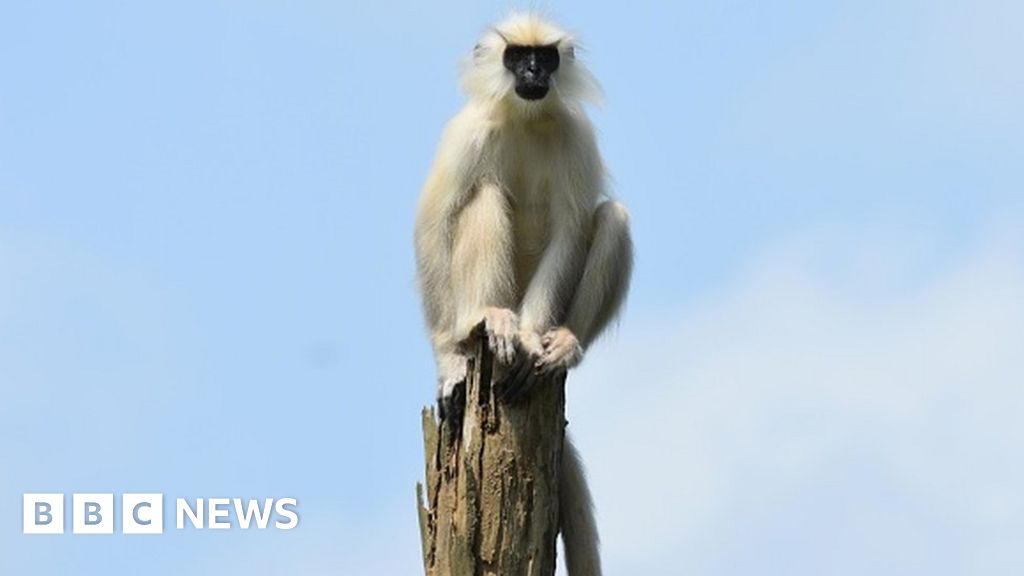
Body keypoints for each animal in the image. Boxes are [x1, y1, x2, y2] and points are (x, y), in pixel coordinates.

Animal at [415, 12, 630, 573]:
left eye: (545, 57)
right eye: (517, 57)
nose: (534, 72)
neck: (525, 119)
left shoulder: (576, 134)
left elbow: (571, 231)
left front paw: (536, 345)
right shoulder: (466, 134)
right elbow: (433, 227)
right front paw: (449, 363)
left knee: (613, 217)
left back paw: (559, 346)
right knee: (484, 195)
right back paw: (487, 324)